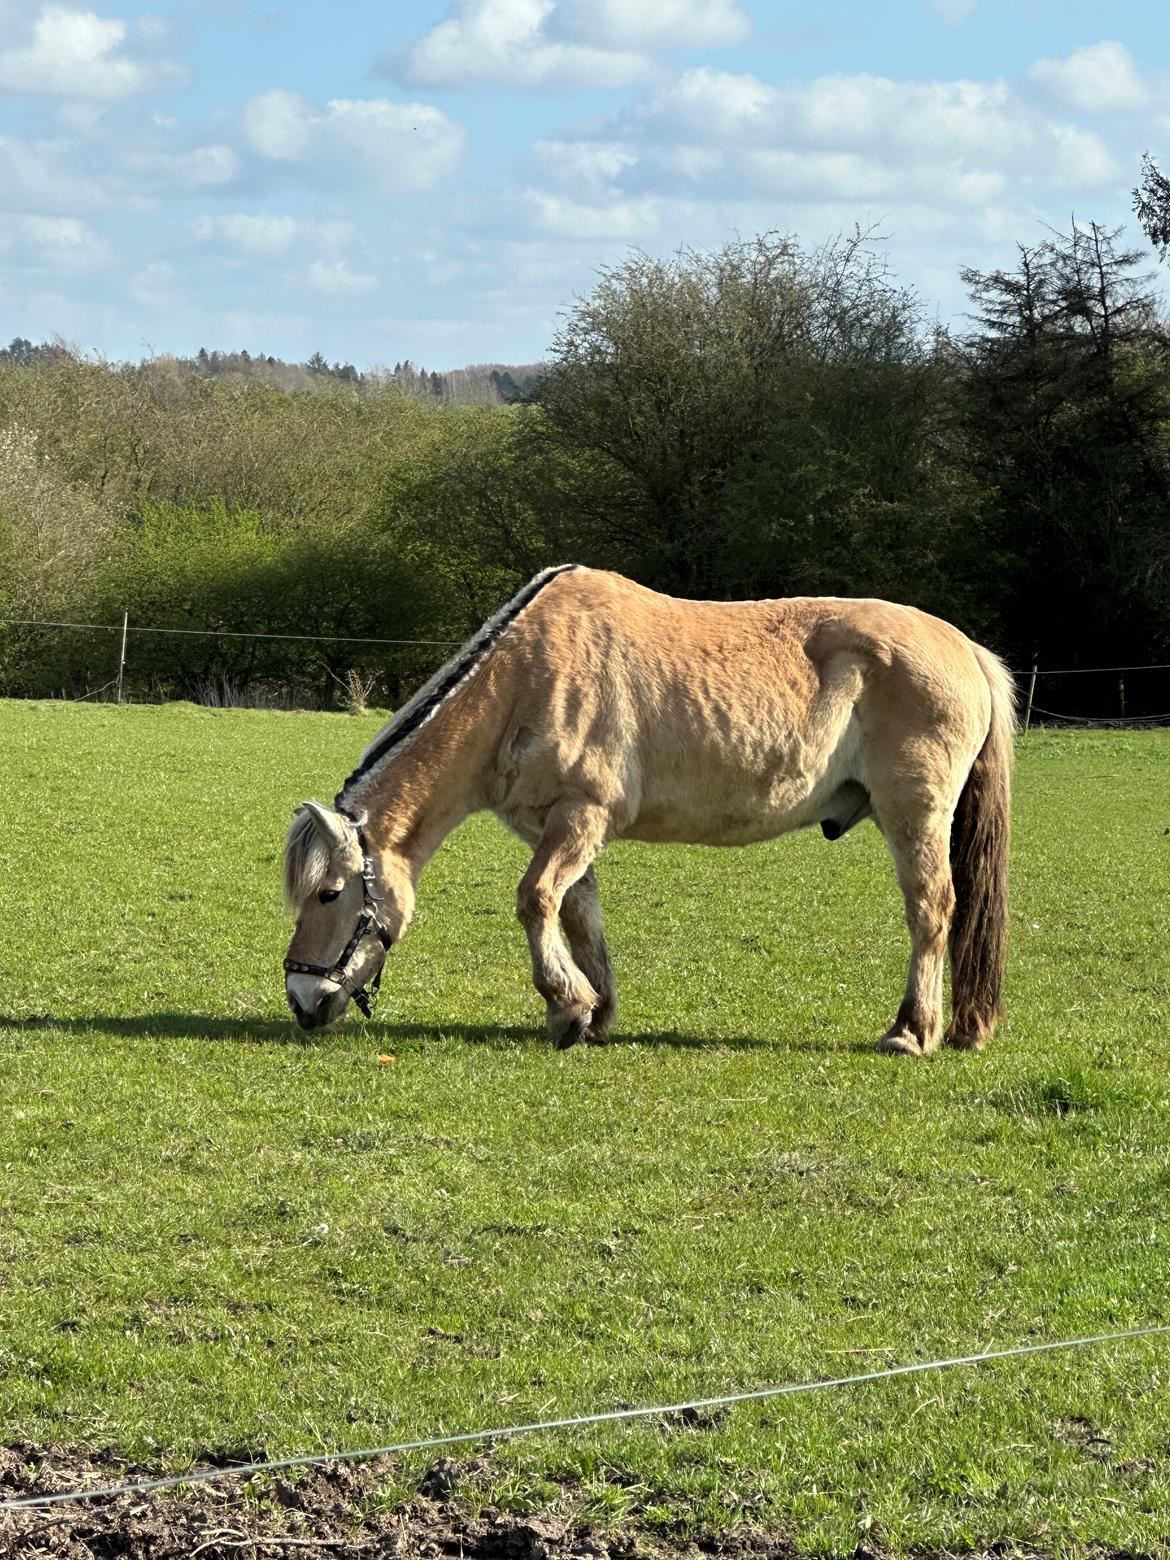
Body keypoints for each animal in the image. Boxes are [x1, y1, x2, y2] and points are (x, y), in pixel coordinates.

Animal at [283, 564, 1017, 1060]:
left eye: (328, 893)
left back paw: (911, 1030)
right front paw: (591, 1011)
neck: (522, 680)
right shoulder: (555, 825)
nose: (301, 1000)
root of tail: (963, 647)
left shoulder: (583, 815)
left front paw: (567, 1006)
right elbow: (576, 911)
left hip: (915, 814)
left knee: (932, 910)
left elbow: (535, 900)